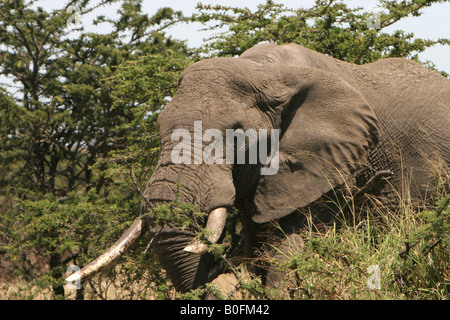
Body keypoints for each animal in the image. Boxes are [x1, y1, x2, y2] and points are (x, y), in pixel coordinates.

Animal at [65, 42, 448, 296]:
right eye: (159, 126)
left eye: (236, 135)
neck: (267, 72)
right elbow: (261, 254)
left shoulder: (332, 165)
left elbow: (288, 252)